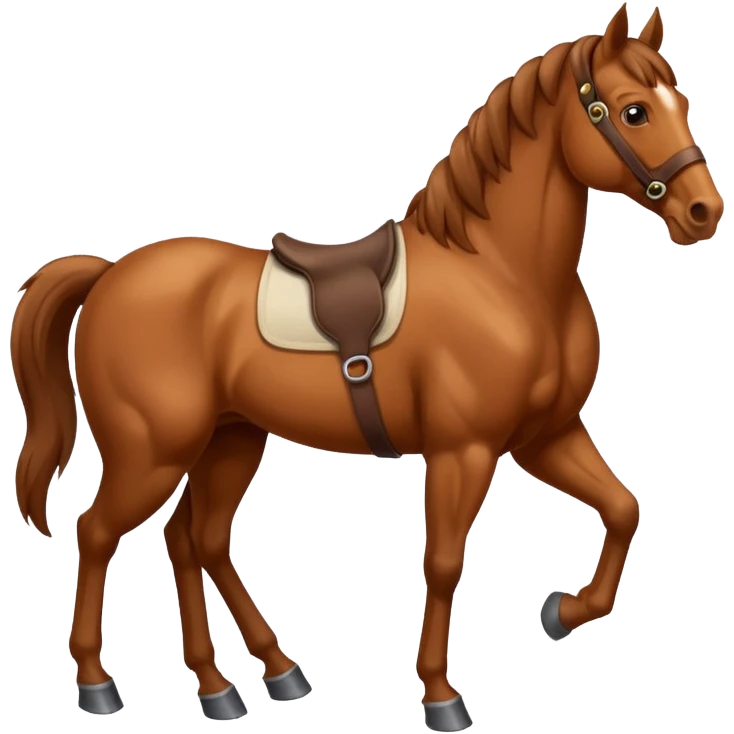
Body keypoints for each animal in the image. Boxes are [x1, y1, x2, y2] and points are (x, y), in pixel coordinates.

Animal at [9, 3, 723, 731]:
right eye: (634, 111)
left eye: (682, 103)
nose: (704, 212)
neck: (502, 275)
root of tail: (108, 275)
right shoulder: (463, 451)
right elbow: (444, 562)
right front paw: (440, 696)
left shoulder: (545, 436)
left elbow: (623, 509)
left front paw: (562, 611)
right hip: (152, 453)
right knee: (98, 532)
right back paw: (99, 683)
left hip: (231, 439)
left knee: (193, 540)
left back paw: (241, 681)